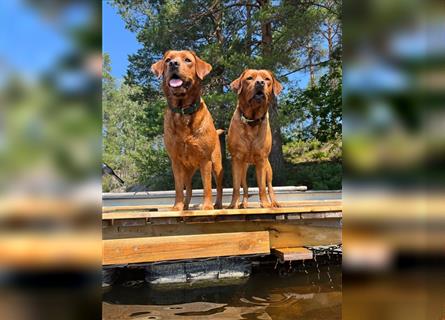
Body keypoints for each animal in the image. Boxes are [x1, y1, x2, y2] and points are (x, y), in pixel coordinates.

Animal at [152, 49, 222, 210]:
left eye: (188, 60)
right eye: (167, 60)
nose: (173, 63)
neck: (183, 110)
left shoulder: (205, 159)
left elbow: (207, 187)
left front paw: (207, 207)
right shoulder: (176, 161)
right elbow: (179, 188)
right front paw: (177, 207)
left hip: (216, 164)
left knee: (219, 186)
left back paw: (218, 204)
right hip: (187, 171)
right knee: (188, 189)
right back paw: (185, 206)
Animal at [227, 69, 282, 209]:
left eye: (267, 79)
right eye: (249, 78)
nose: (260, 83)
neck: (251, 120)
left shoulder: (261, 159)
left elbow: (262, 186)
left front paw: (265, 204)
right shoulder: (236, 159)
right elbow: (236, 187)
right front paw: (233, 205)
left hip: (268, 168)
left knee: (269, 185)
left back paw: (273, 202)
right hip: (243, 168)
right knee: (245, 187)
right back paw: (244, 203)